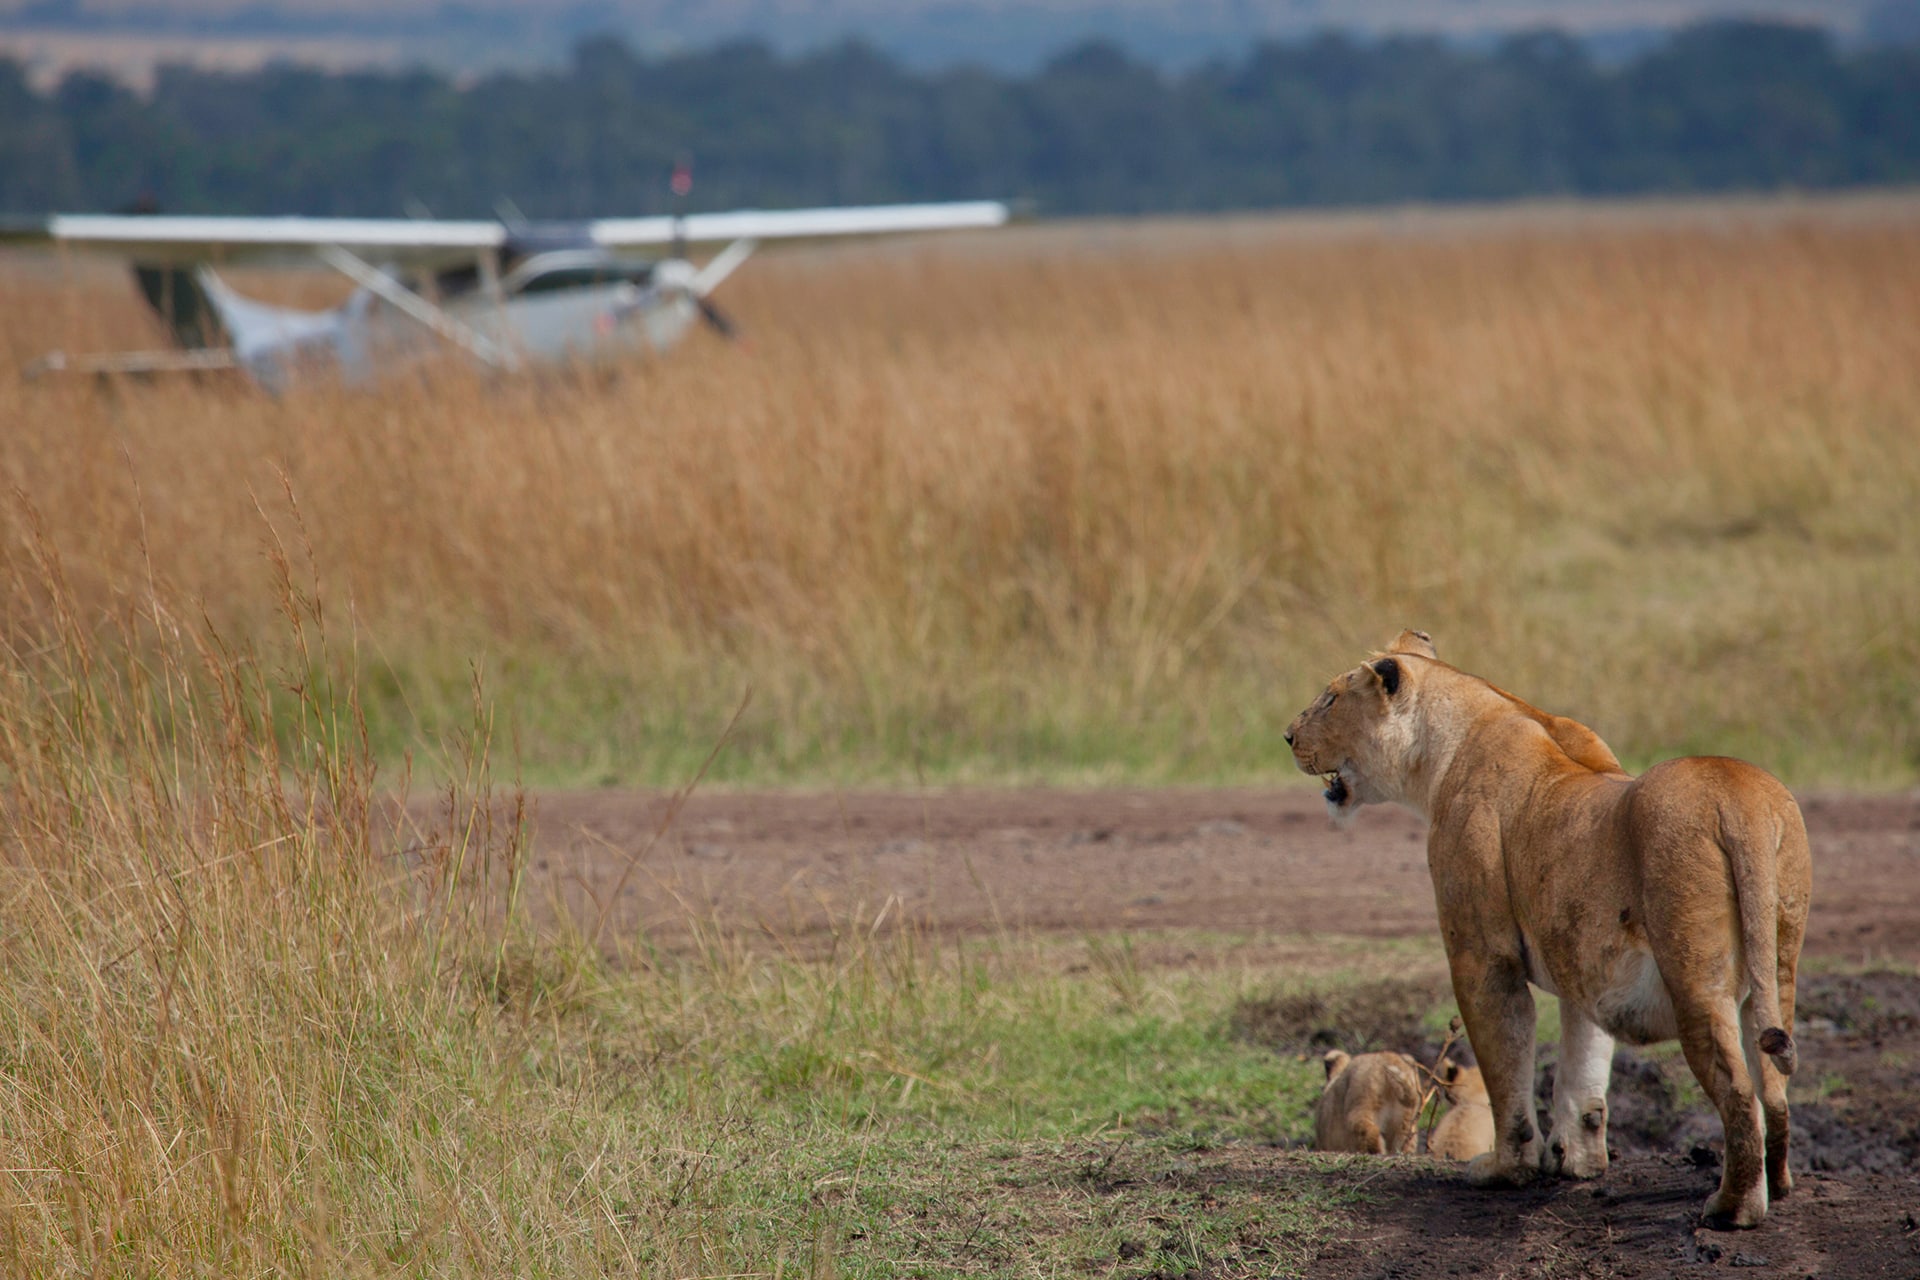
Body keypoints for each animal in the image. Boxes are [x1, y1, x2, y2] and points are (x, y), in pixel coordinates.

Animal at [1286, 632, 1811, 1229]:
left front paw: (1506, 1168)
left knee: (1739, 1090)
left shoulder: (1483, 956)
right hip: (1778, 961)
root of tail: (1738, 800)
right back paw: (1780, 1184)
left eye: (1330, 699)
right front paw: (1577, 1162)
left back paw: (1731, 1208)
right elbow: (1583, 1069)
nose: (1288, 736)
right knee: (1774, 1081)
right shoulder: (1584, 958)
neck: (1451, 740)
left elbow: (1505, 1065)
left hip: (1695, 977)